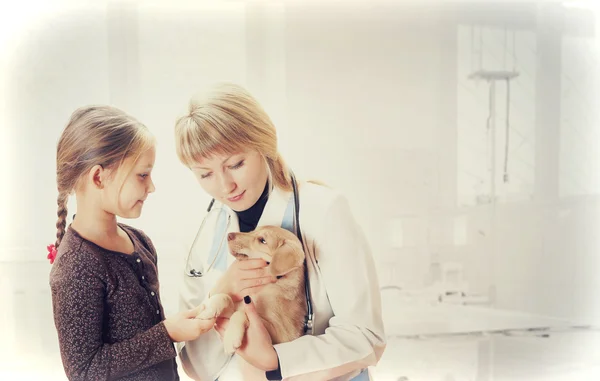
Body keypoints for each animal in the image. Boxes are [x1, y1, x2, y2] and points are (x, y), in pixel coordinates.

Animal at [198, 226, 308, 354]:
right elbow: (226, 297)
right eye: (253, 230)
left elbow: (241, 313)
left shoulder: (281, 334)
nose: (229, 235)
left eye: (262, 240)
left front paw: (230, 338)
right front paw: (208, 311)